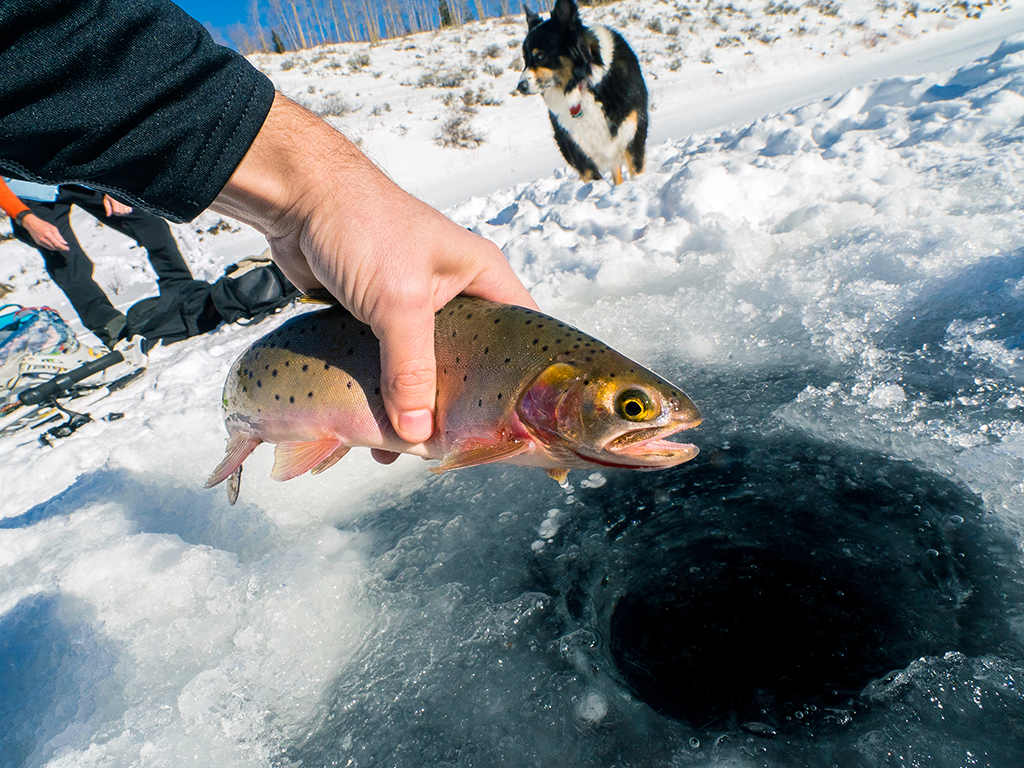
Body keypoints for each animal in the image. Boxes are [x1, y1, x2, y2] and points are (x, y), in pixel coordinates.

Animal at [520, 0, 647, 185]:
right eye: (525, 59)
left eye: (540, 55)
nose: (520, 86)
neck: (581, 87)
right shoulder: (577, 149)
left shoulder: (632, 133)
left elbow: (636, 170)